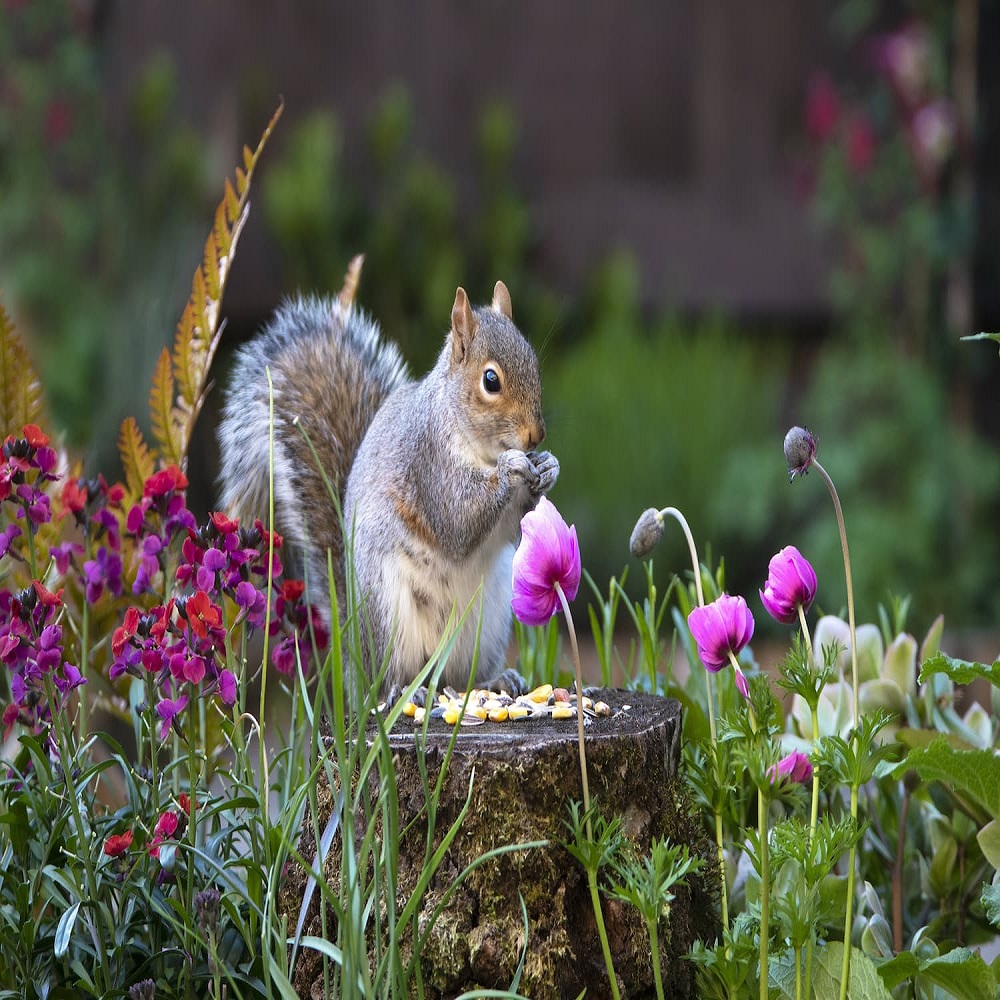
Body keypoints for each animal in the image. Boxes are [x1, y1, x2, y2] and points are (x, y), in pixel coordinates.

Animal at [217, 257, 559, 691]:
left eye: (535, 365)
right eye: (490, 380)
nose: (535, 436)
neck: (478, 446)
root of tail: (352, 655)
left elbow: (515, 528)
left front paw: (547, 466)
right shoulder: (428, 463)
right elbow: (457, 520)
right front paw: (511, 468)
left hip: (492, 618)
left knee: (464, 680)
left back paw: (495, 682)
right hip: (386, 610)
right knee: (389, 680)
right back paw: (400, 688)